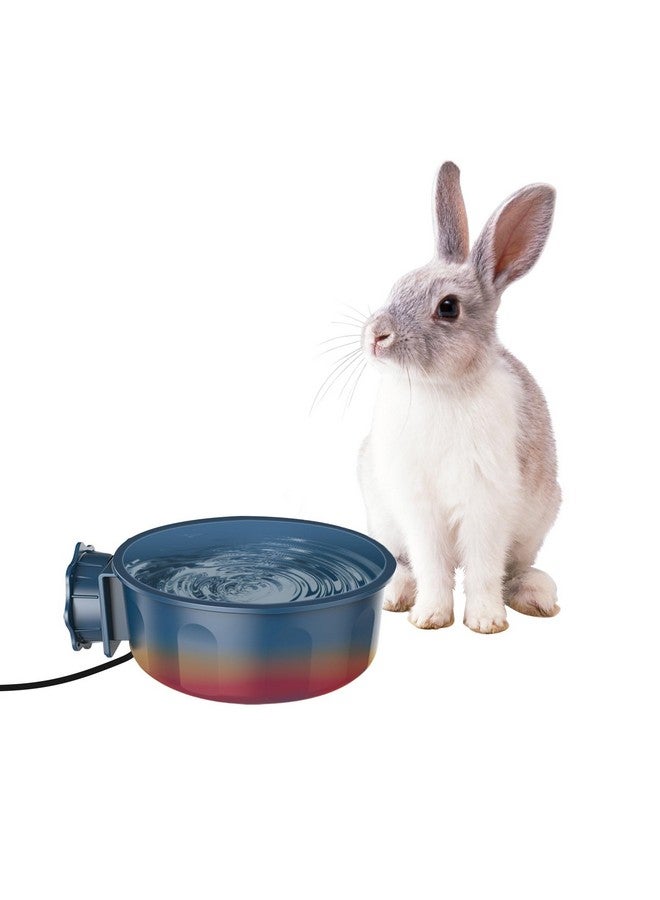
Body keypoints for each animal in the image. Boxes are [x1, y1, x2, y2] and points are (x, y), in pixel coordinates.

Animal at [358, 162, 560, 633]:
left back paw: (538, 597)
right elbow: (432, 564)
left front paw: (485, 622)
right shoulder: (418, 505)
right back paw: (395, 596)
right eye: (398, 285)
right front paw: (430, 617)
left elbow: (484, 568)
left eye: (448, 307)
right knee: (403, 562)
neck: (440, 388)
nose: (376, 335)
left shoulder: (487, 501)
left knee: (513, 569)